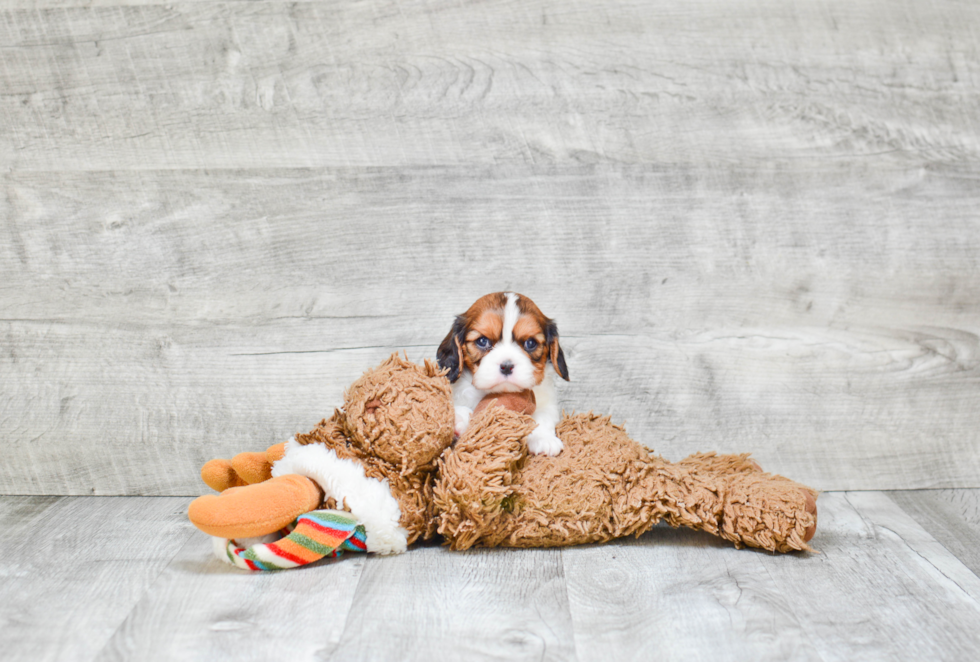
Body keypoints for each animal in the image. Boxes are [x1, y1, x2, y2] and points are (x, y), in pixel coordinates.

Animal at [434, 294, 568, 456]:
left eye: (530, 343)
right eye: (482, 341)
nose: (507, 366)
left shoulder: (547, 402)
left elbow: (543, 417)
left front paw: (543, 438)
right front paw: (459, 418)